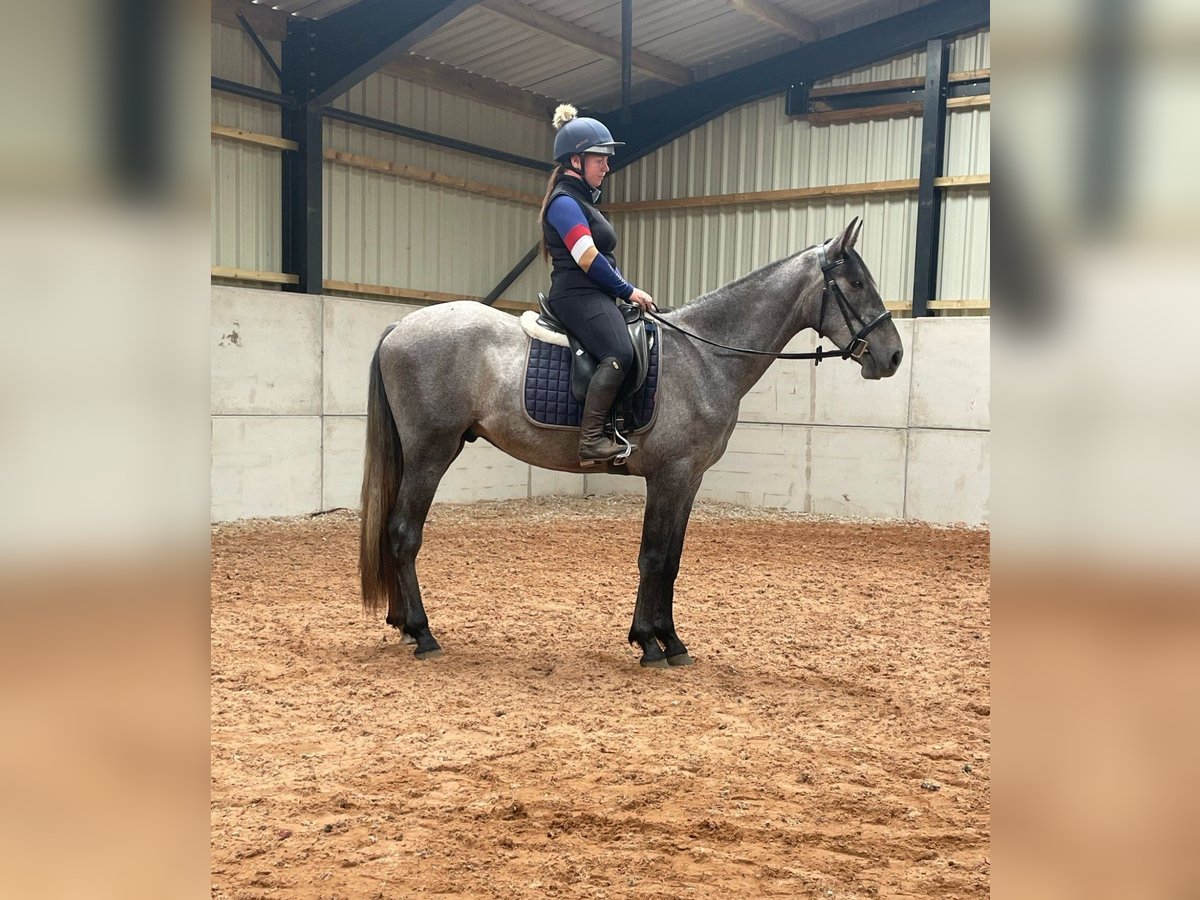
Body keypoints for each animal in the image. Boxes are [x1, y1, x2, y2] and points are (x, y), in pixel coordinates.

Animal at [359, 217, 904, 668]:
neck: (704, 357)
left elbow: (672, 559)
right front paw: (650, 642)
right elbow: (654, 557)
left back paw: (403, 625)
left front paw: (670, 640)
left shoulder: (688, 480)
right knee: (404, 532)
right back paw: (423, 633)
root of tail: (401, 324)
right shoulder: (670, 475)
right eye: (856, 283)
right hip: (431, 452)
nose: (893, 355)